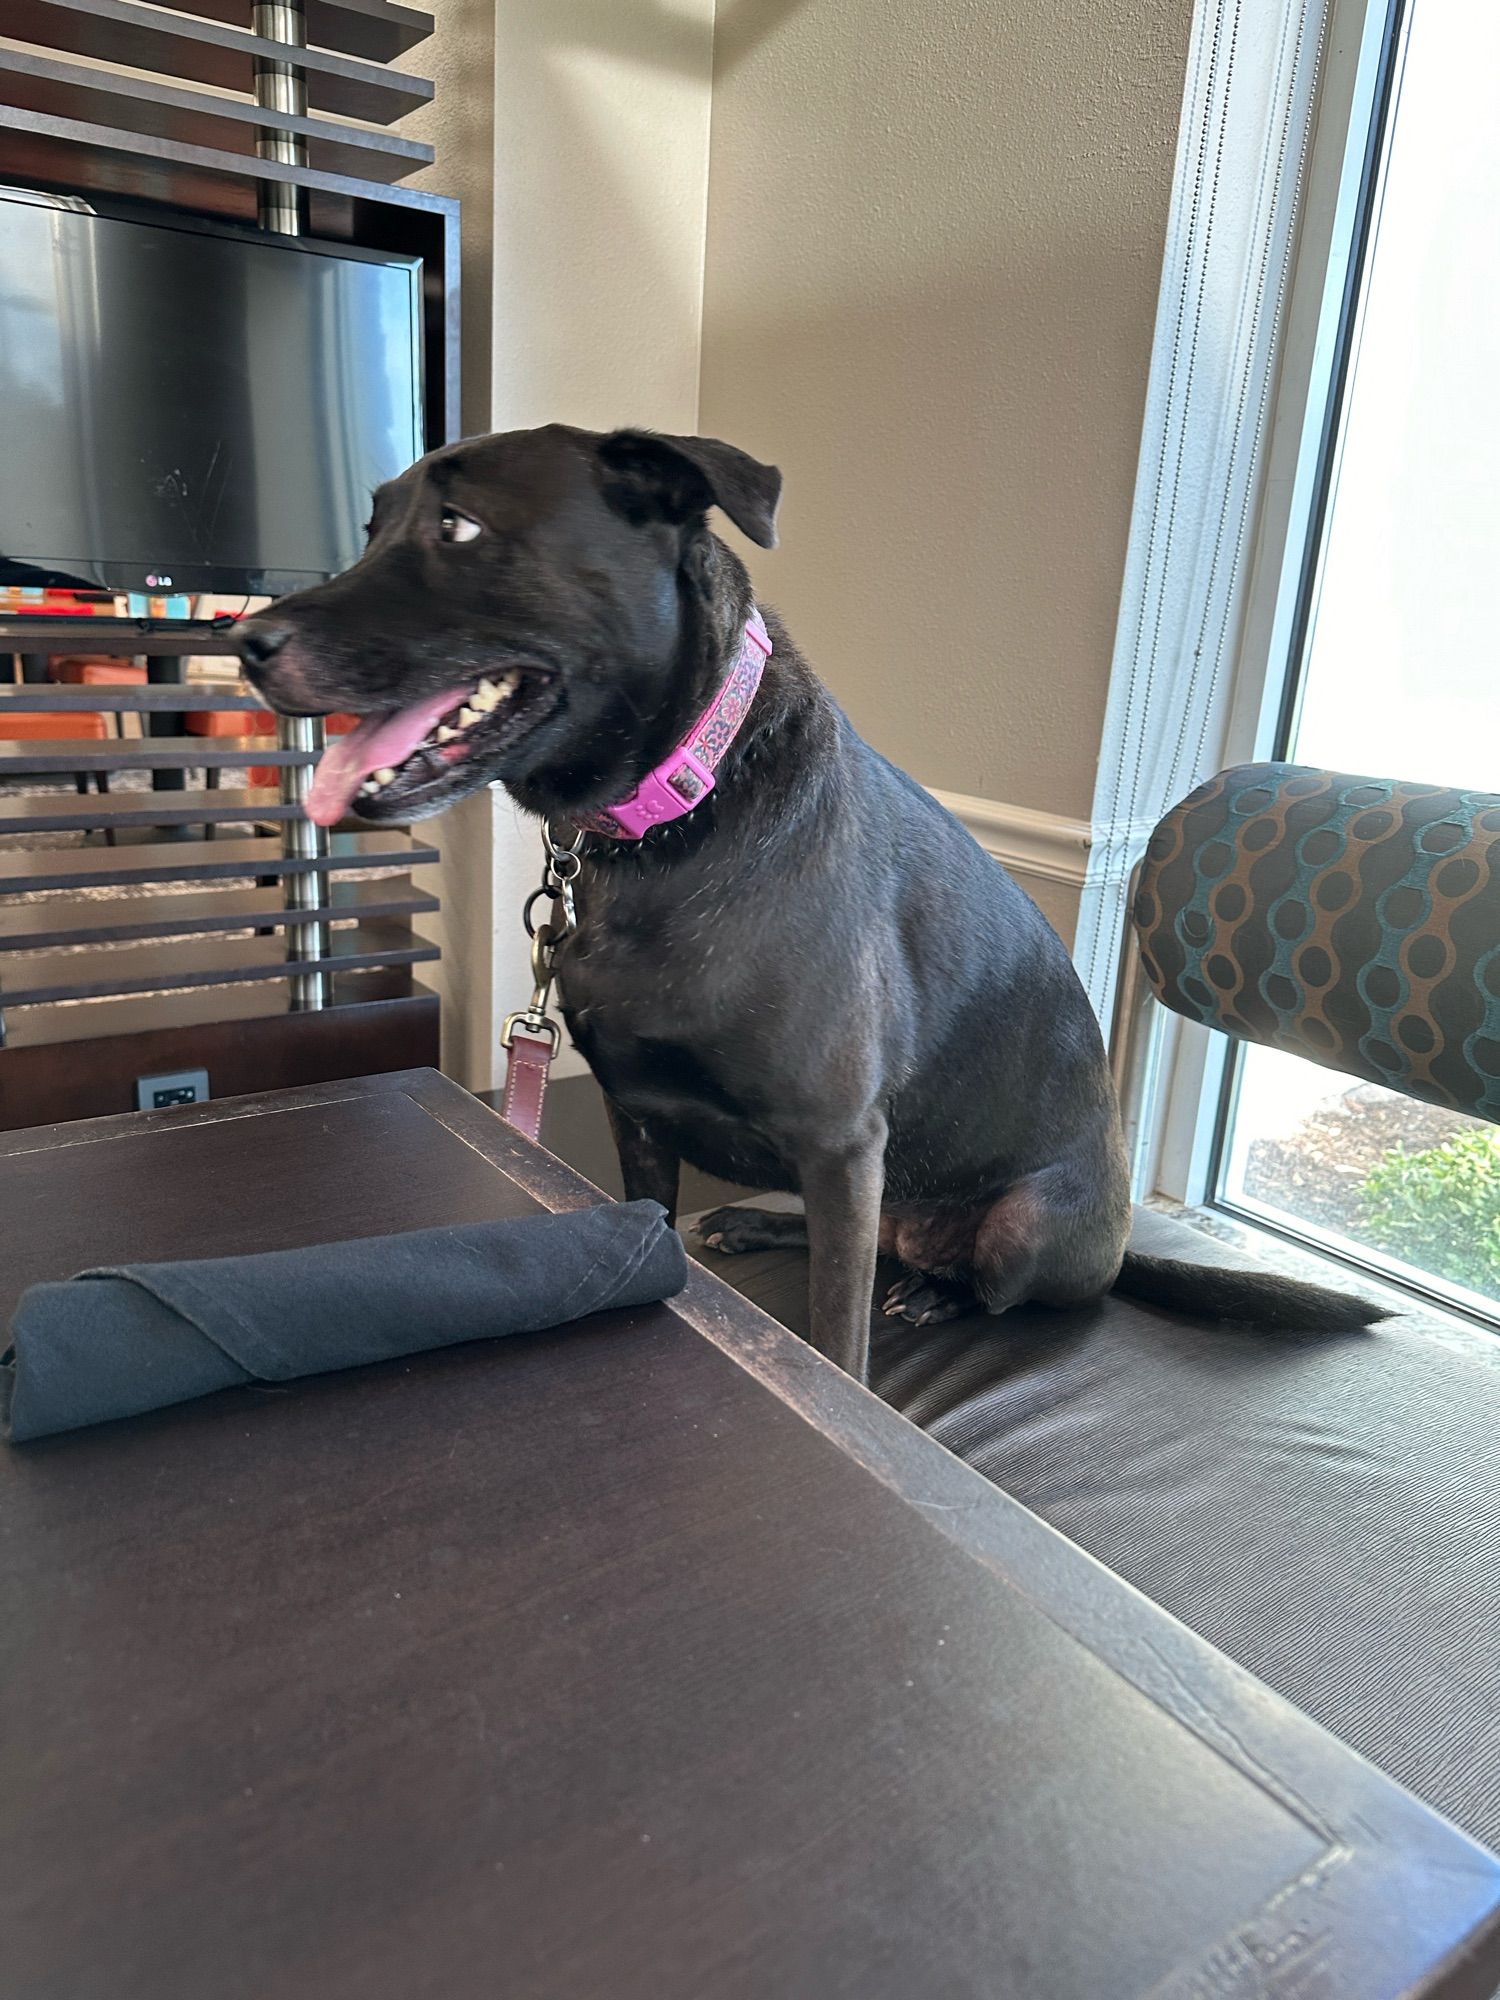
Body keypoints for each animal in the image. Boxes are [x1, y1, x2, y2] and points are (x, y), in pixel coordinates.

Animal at [238, 426, 1384, 1376]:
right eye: (374, 526)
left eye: (459, 526)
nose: (249, 643)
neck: (673, 817)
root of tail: (1122, 1241)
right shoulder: (640, 1114)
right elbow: (658, 1220)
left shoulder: (839, 1140)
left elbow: (836, 1333)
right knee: (876, 1238)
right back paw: (758, 1223)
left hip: (1015, 1224)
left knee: (976, 1282)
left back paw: (933, 1292)